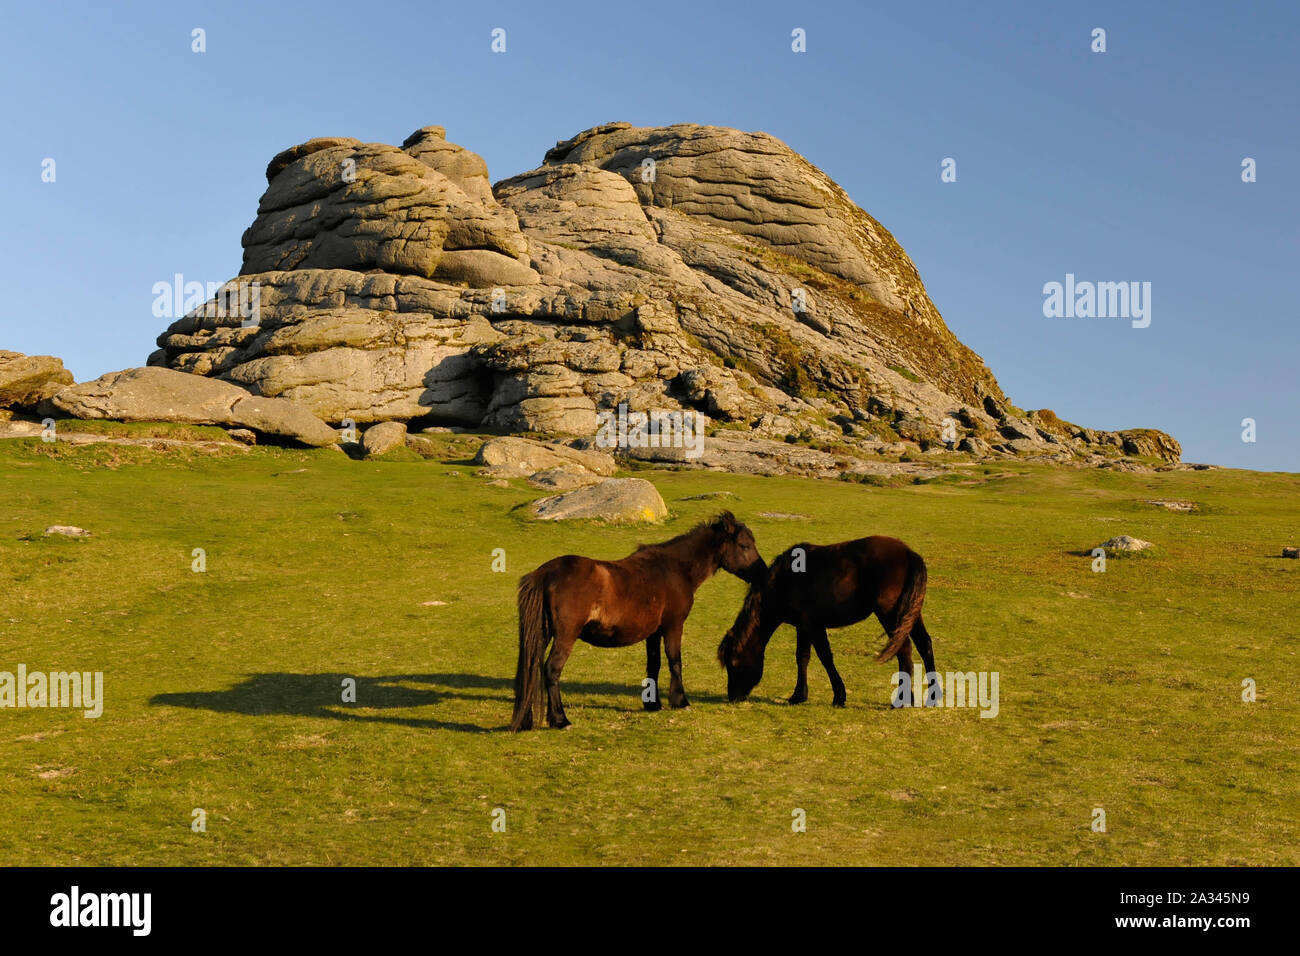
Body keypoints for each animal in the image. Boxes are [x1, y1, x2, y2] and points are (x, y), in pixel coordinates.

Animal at [509, 515, 769, 733]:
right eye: (744, 545)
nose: (764, 574)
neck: (675, 569)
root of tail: (544, 573)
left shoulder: (653, 633)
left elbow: (654, 664)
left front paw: (653, 703)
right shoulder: (673, 626)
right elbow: (675, 661)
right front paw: (680, 701)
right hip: (565, 636)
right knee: (551, 670)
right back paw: (561, 720)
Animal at [717, 538, 941, 712]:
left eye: (733, 663)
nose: (733, 697)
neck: (785, 581)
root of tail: (909, 554)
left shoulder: (812, 625)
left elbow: (824, 658)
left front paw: (838, 696)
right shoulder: (803, 627)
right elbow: (802, 658)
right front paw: (799, 695)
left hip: (890, 615)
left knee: (904, 650)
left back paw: (901, 701)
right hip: (910, 613)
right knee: (924, 645)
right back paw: (932, 696)